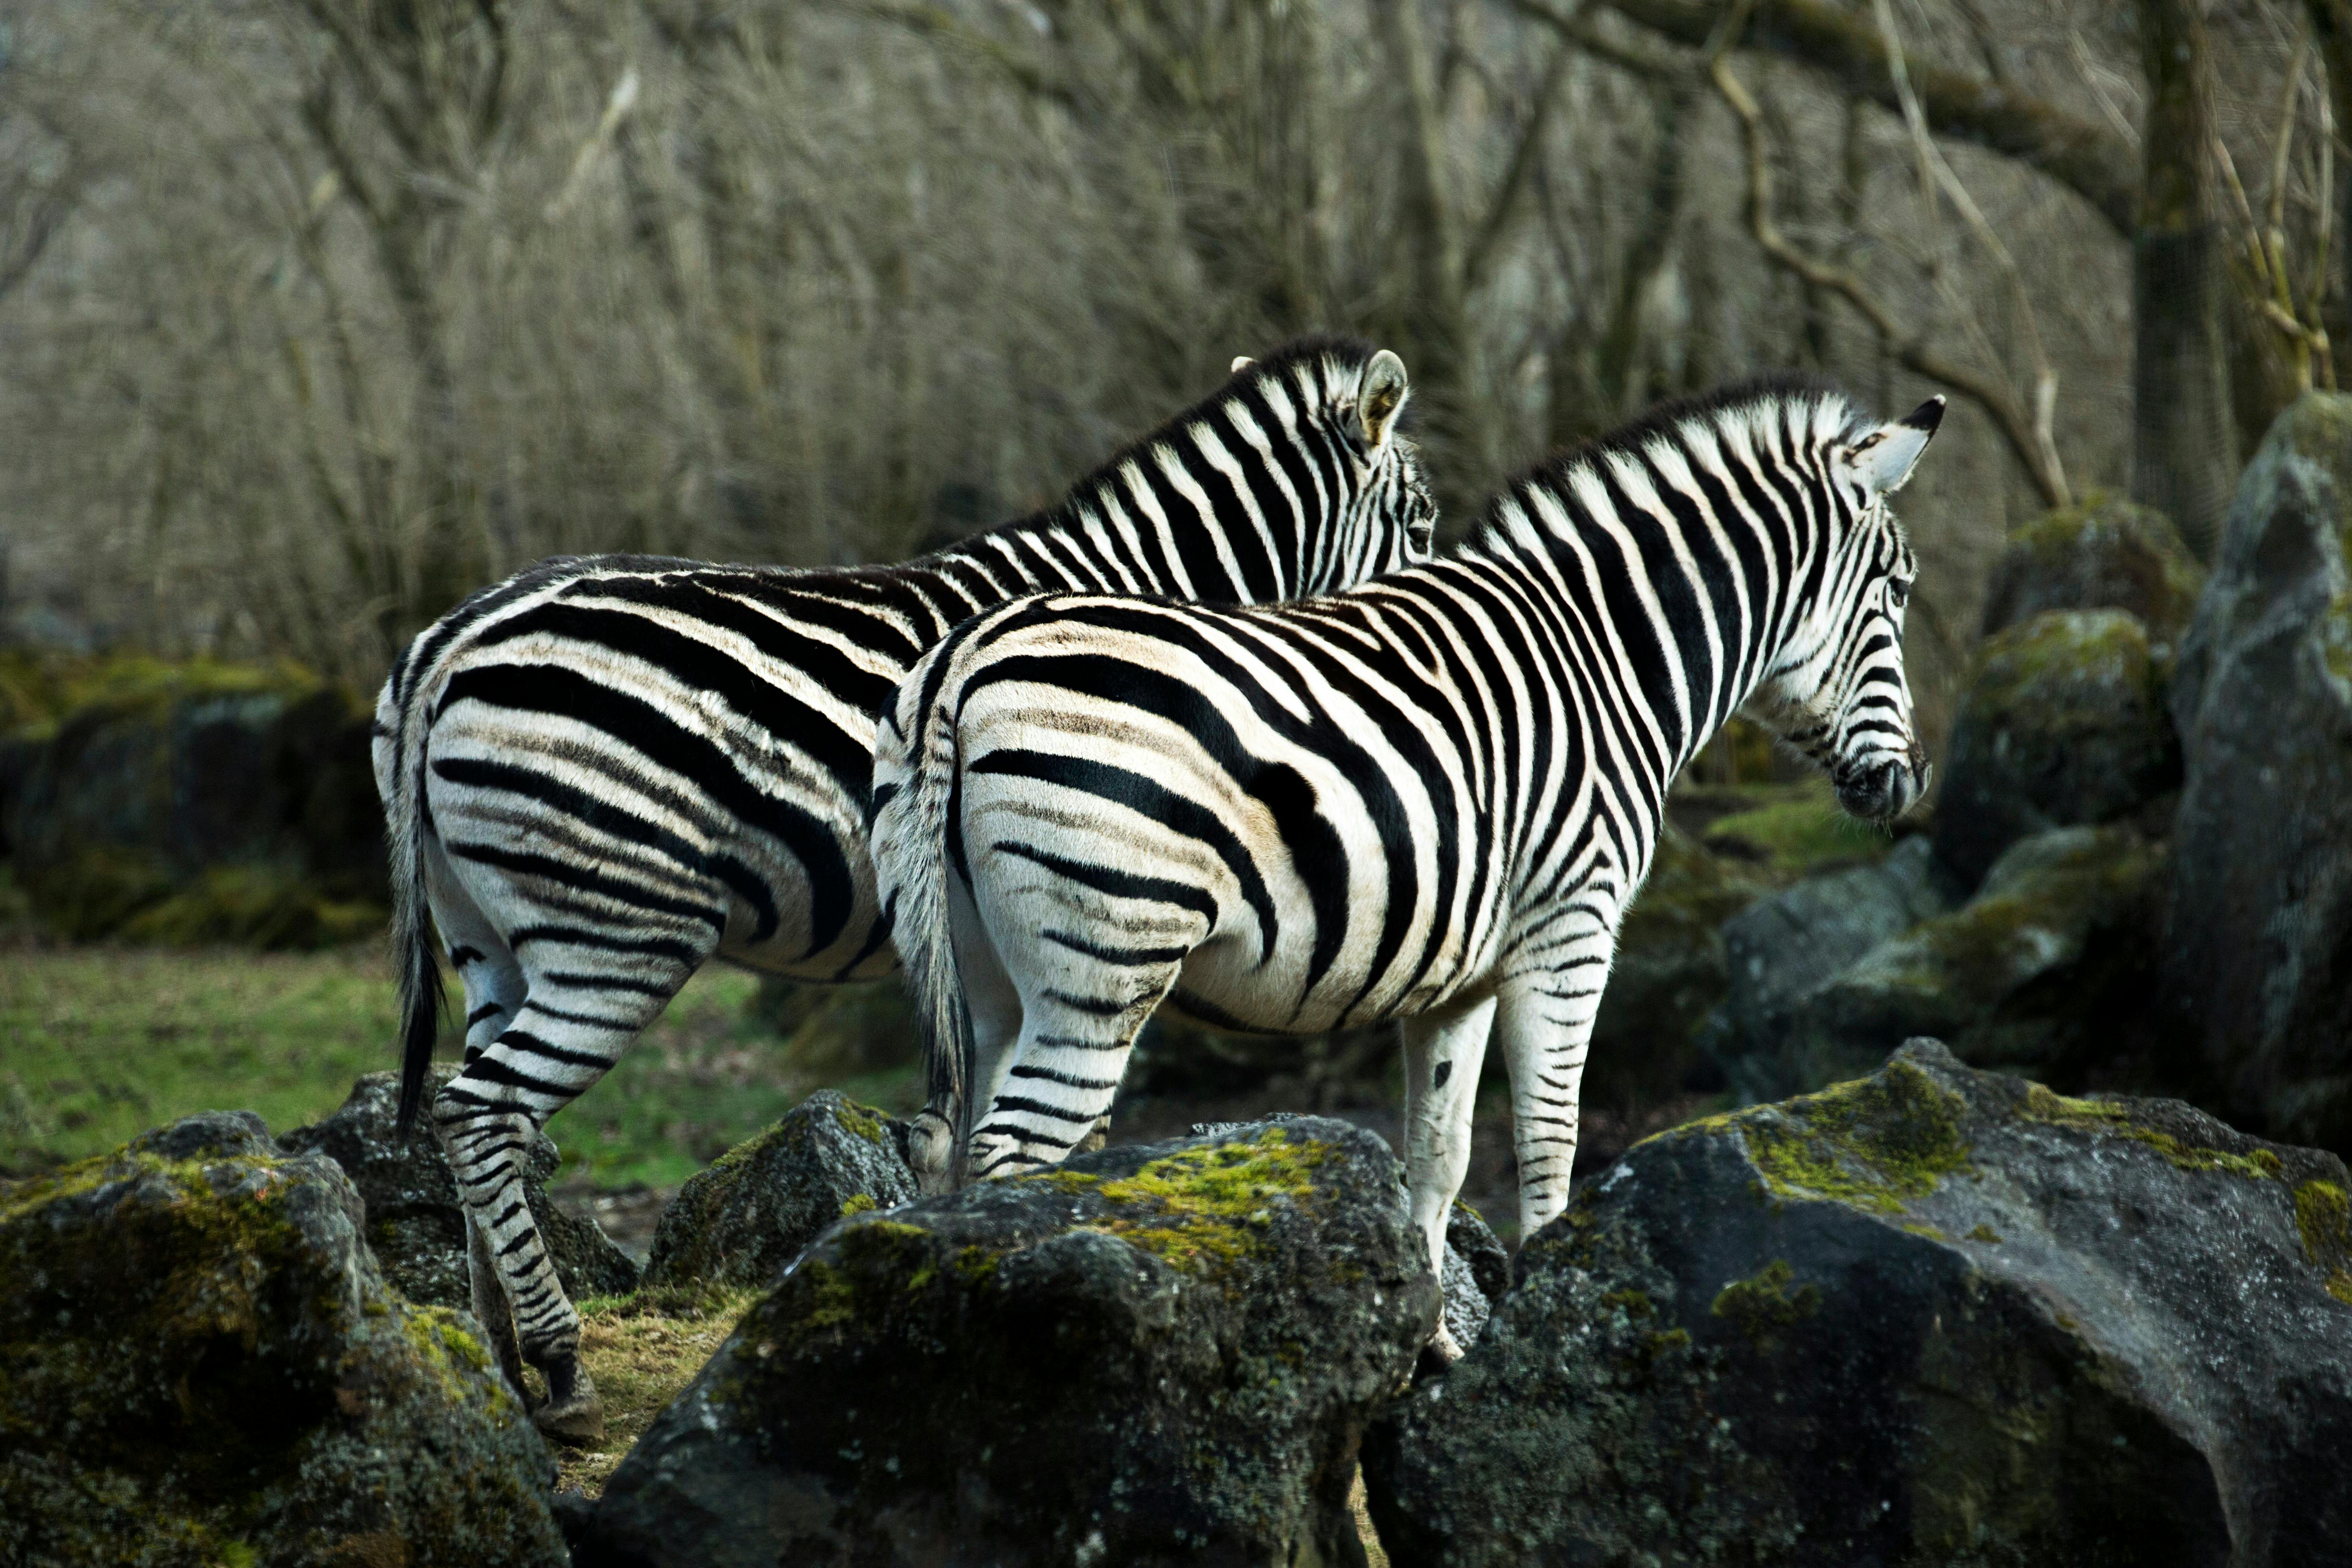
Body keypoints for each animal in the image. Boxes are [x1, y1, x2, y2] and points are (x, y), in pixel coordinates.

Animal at [370, 336, 1437, 1438]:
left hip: (488, 937)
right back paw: (561, 1361)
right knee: (486, 1111)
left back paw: (500, 1358)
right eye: (1422, 523)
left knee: (469, 1115)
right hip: (618, 935)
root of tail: (452, 639)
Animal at [870, 375, 1943, 1358]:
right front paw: (1537, 1331)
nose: (1911, 781)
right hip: (1102, 969)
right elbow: (1549, 1139)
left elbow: (1440, 1153)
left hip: (987, 978)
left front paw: (1430, 1344)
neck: (1604, 661)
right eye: (1896, 591)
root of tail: (965, 656)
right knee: (1015, 1165)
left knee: (959, 1159)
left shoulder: (1455, 979)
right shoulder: (1571, 930)